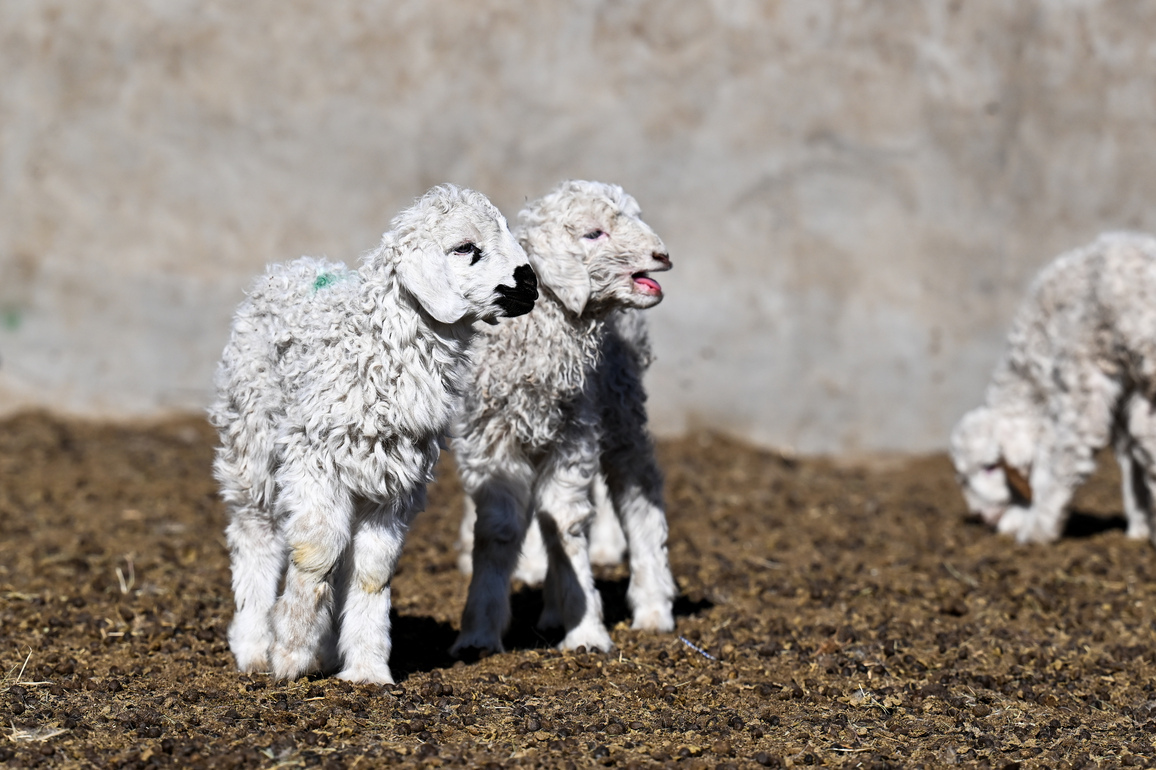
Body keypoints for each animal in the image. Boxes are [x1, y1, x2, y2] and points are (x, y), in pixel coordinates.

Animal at [207, 184, 538, 684]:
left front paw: (366, 669)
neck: (373, 346)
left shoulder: (393, 480)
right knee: (255, 533)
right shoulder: (314, 458)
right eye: (465, 248)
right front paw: (291, 654)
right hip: (251, 435)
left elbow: (372, 570)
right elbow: (317, 552)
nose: (531, 285)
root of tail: (291, 266)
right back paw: (254, 647)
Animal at [449, 180, 677, 656]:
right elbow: (500, 528)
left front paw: (586, 631)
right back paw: (553, 609)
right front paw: (478, 634)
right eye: (593, 234)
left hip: (621, 403)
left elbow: (568, 522)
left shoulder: (574, 433)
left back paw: (653, 607)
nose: (662, 255)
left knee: (638, 492)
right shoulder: (490, 438)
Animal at [950, 231, 1156, 545]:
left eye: (990, 467)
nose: (987, 518)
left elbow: (1063, 457)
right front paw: (1140, 526)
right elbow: (1136, 454)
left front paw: (1035, 527)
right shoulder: (1129, 397)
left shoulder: (1081, 375)